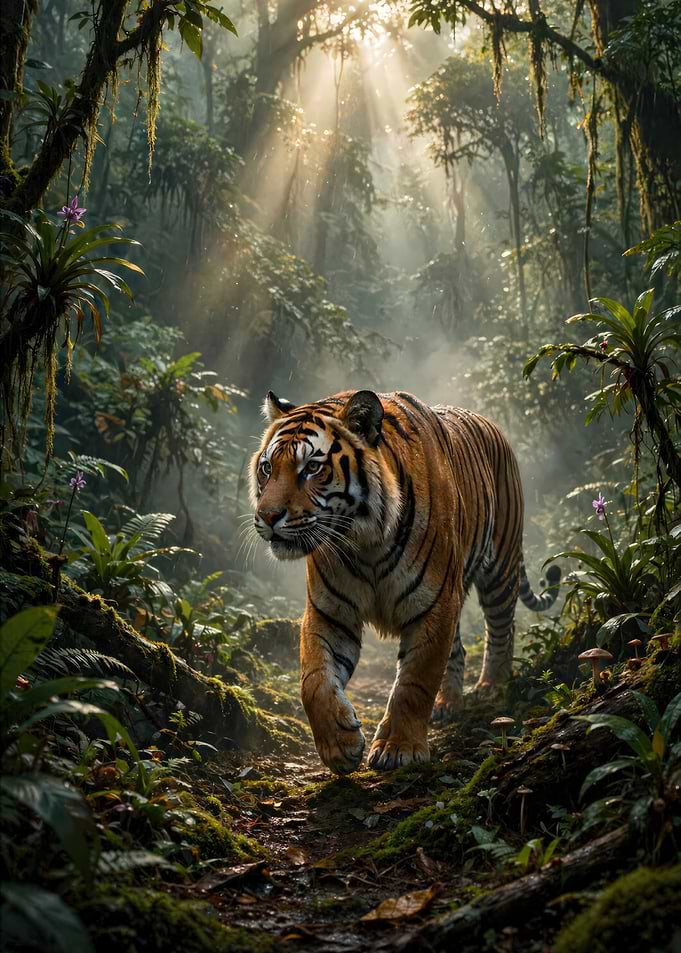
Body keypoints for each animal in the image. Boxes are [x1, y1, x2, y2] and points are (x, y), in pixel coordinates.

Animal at [250, 389, 560, 775]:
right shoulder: (329, 612)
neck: (362, 542)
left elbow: (414, 681)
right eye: (267, 468)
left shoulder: (433, 604)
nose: (267, 516)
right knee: (458, 648)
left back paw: (492, 686)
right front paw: (340, 745)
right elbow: (314, 681)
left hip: (499, 567)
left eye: (312, 468)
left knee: (503, 628)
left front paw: (399, 748)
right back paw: (447, 703)